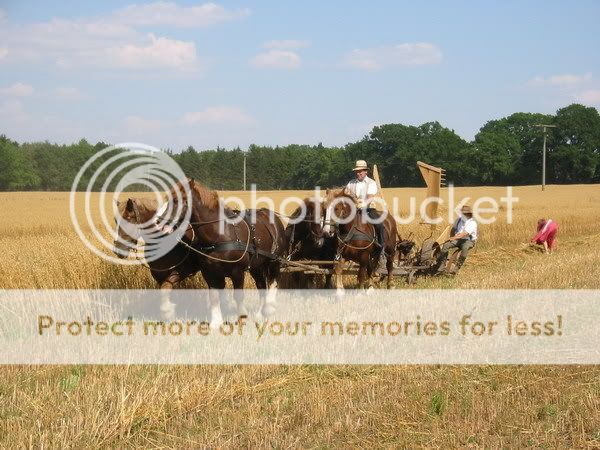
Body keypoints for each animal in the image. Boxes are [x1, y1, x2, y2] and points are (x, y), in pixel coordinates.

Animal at [168, 177, 288, 326]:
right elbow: (214, 296)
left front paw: (242, 318)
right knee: (261, 286)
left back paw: (269, 308)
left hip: (274, 261)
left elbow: (238, 296)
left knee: (274, 281)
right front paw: (216, 322)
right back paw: (259, 315)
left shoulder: (237, 272)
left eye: (178, 199)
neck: (220, 234)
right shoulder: (209, 272)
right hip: (257, 266)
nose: (159, 221)